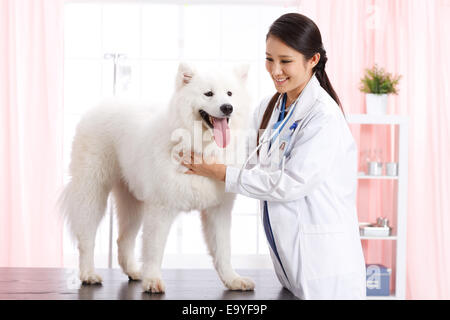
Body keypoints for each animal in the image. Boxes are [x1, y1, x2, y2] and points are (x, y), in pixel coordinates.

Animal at [59, 62, 256, 292]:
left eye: (230, 94)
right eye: (208, 93)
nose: (227, 107)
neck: (197, 144)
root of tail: (101, 105)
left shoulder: (218, 210)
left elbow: (223, 251)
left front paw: (233, 279)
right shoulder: (161, 208)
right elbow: (154, 249)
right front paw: (153, 280)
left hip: (133, 203)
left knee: (123, 240)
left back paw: (135, 272)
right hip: (92, 192)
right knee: (86, 238)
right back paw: (89, 274)